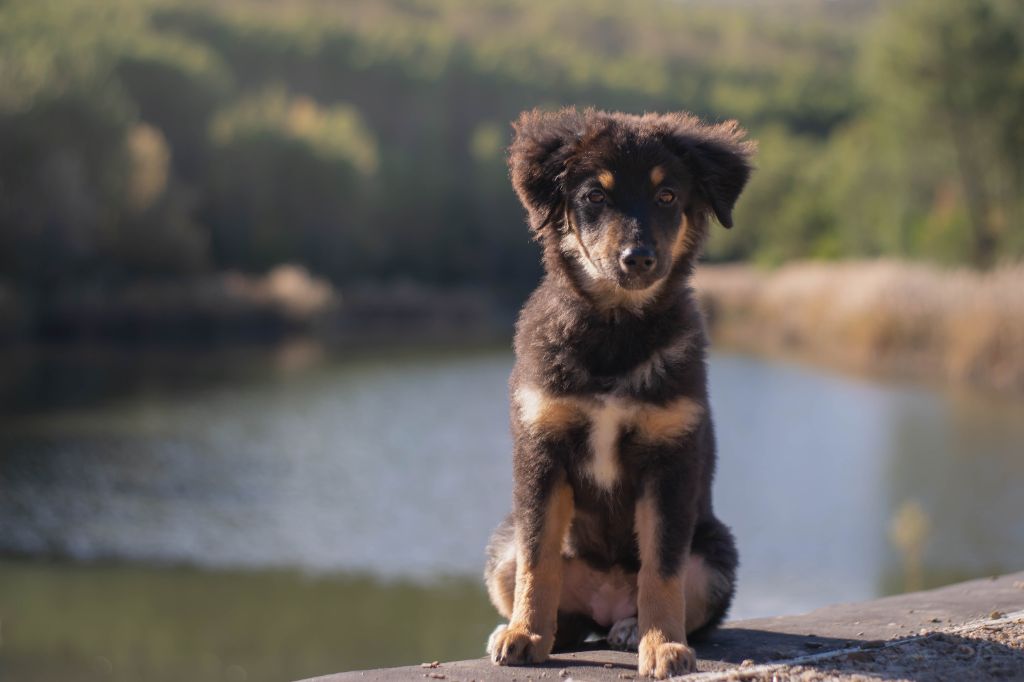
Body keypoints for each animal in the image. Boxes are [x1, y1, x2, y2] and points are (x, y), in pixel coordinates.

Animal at [479, 107, 753, 675]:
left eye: (667, 195)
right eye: (594, 196)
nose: (638, 258)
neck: (615, 331)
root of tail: (602, 605)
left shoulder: (670, 458)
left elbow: (662, 568)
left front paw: (663, 645)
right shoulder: (541, 449)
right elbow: (538, 559)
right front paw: (524, 633)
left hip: (716, 555)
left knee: (679, 596)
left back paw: (632, 630)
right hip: (502, 545)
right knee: (555, 605)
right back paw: (534, 630)